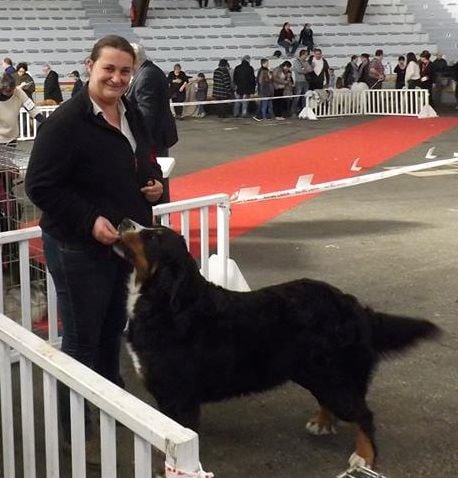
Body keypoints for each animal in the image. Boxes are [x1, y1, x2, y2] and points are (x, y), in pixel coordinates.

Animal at [116, 219, 442, 470]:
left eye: (153, 237)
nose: (123, 222)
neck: (166, 303)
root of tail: (350, 303)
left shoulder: (179, 396)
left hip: (334, 375)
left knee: (363, 414)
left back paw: (364, 456)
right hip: (316, 372)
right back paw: (322, 422)